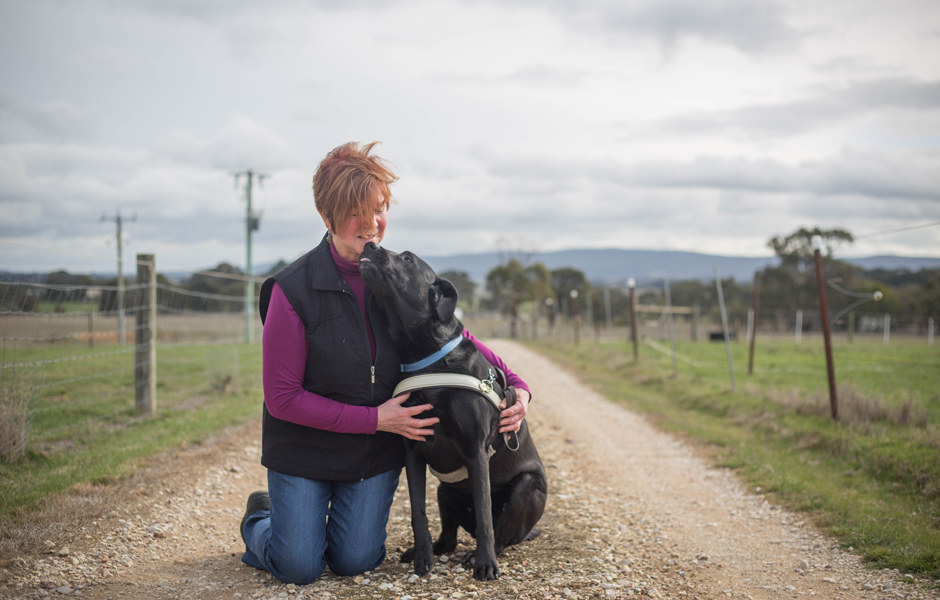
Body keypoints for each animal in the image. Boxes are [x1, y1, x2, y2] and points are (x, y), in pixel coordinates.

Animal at [360, 243, 552, 580]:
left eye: (407, 259)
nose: (370, 244)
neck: (425, 358)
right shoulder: (412, 451)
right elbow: (418, 512)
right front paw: (422, 557)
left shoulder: (476, 452)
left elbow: (487, 518)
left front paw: (485, 564)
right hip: (444, 490)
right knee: (449, 538)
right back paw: (431, 549)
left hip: (526, 487)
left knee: (501, 534)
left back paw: (480, 554)